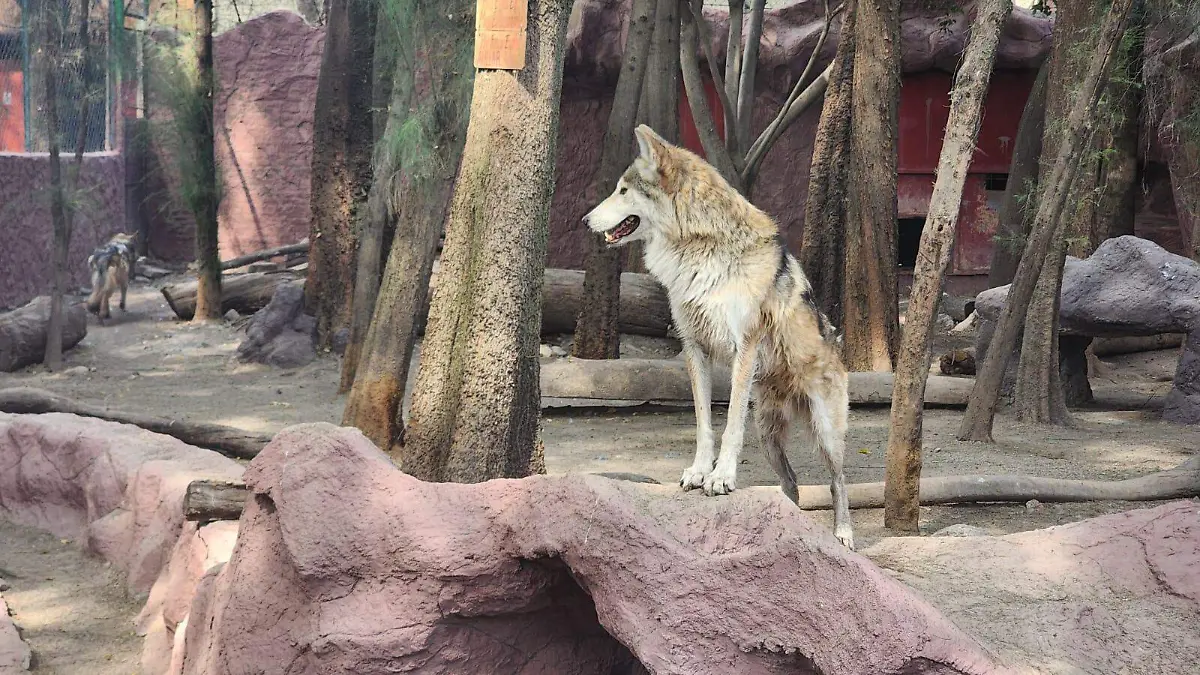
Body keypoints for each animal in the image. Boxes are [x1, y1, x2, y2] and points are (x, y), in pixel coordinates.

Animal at [583, 125, 854, 549]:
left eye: (623, 191)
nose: (584, 219)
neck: (698, 249)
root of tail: (839, 343)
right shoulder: (694, 348)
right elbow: (704, 424)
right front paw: (699, 472)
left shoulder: (745, 348)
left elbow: (729, 429)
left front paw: (722, 477)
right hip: (767, 434)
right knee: (791, 484)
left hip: (825, 432)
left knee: (838, 481)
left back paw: (843, 535)